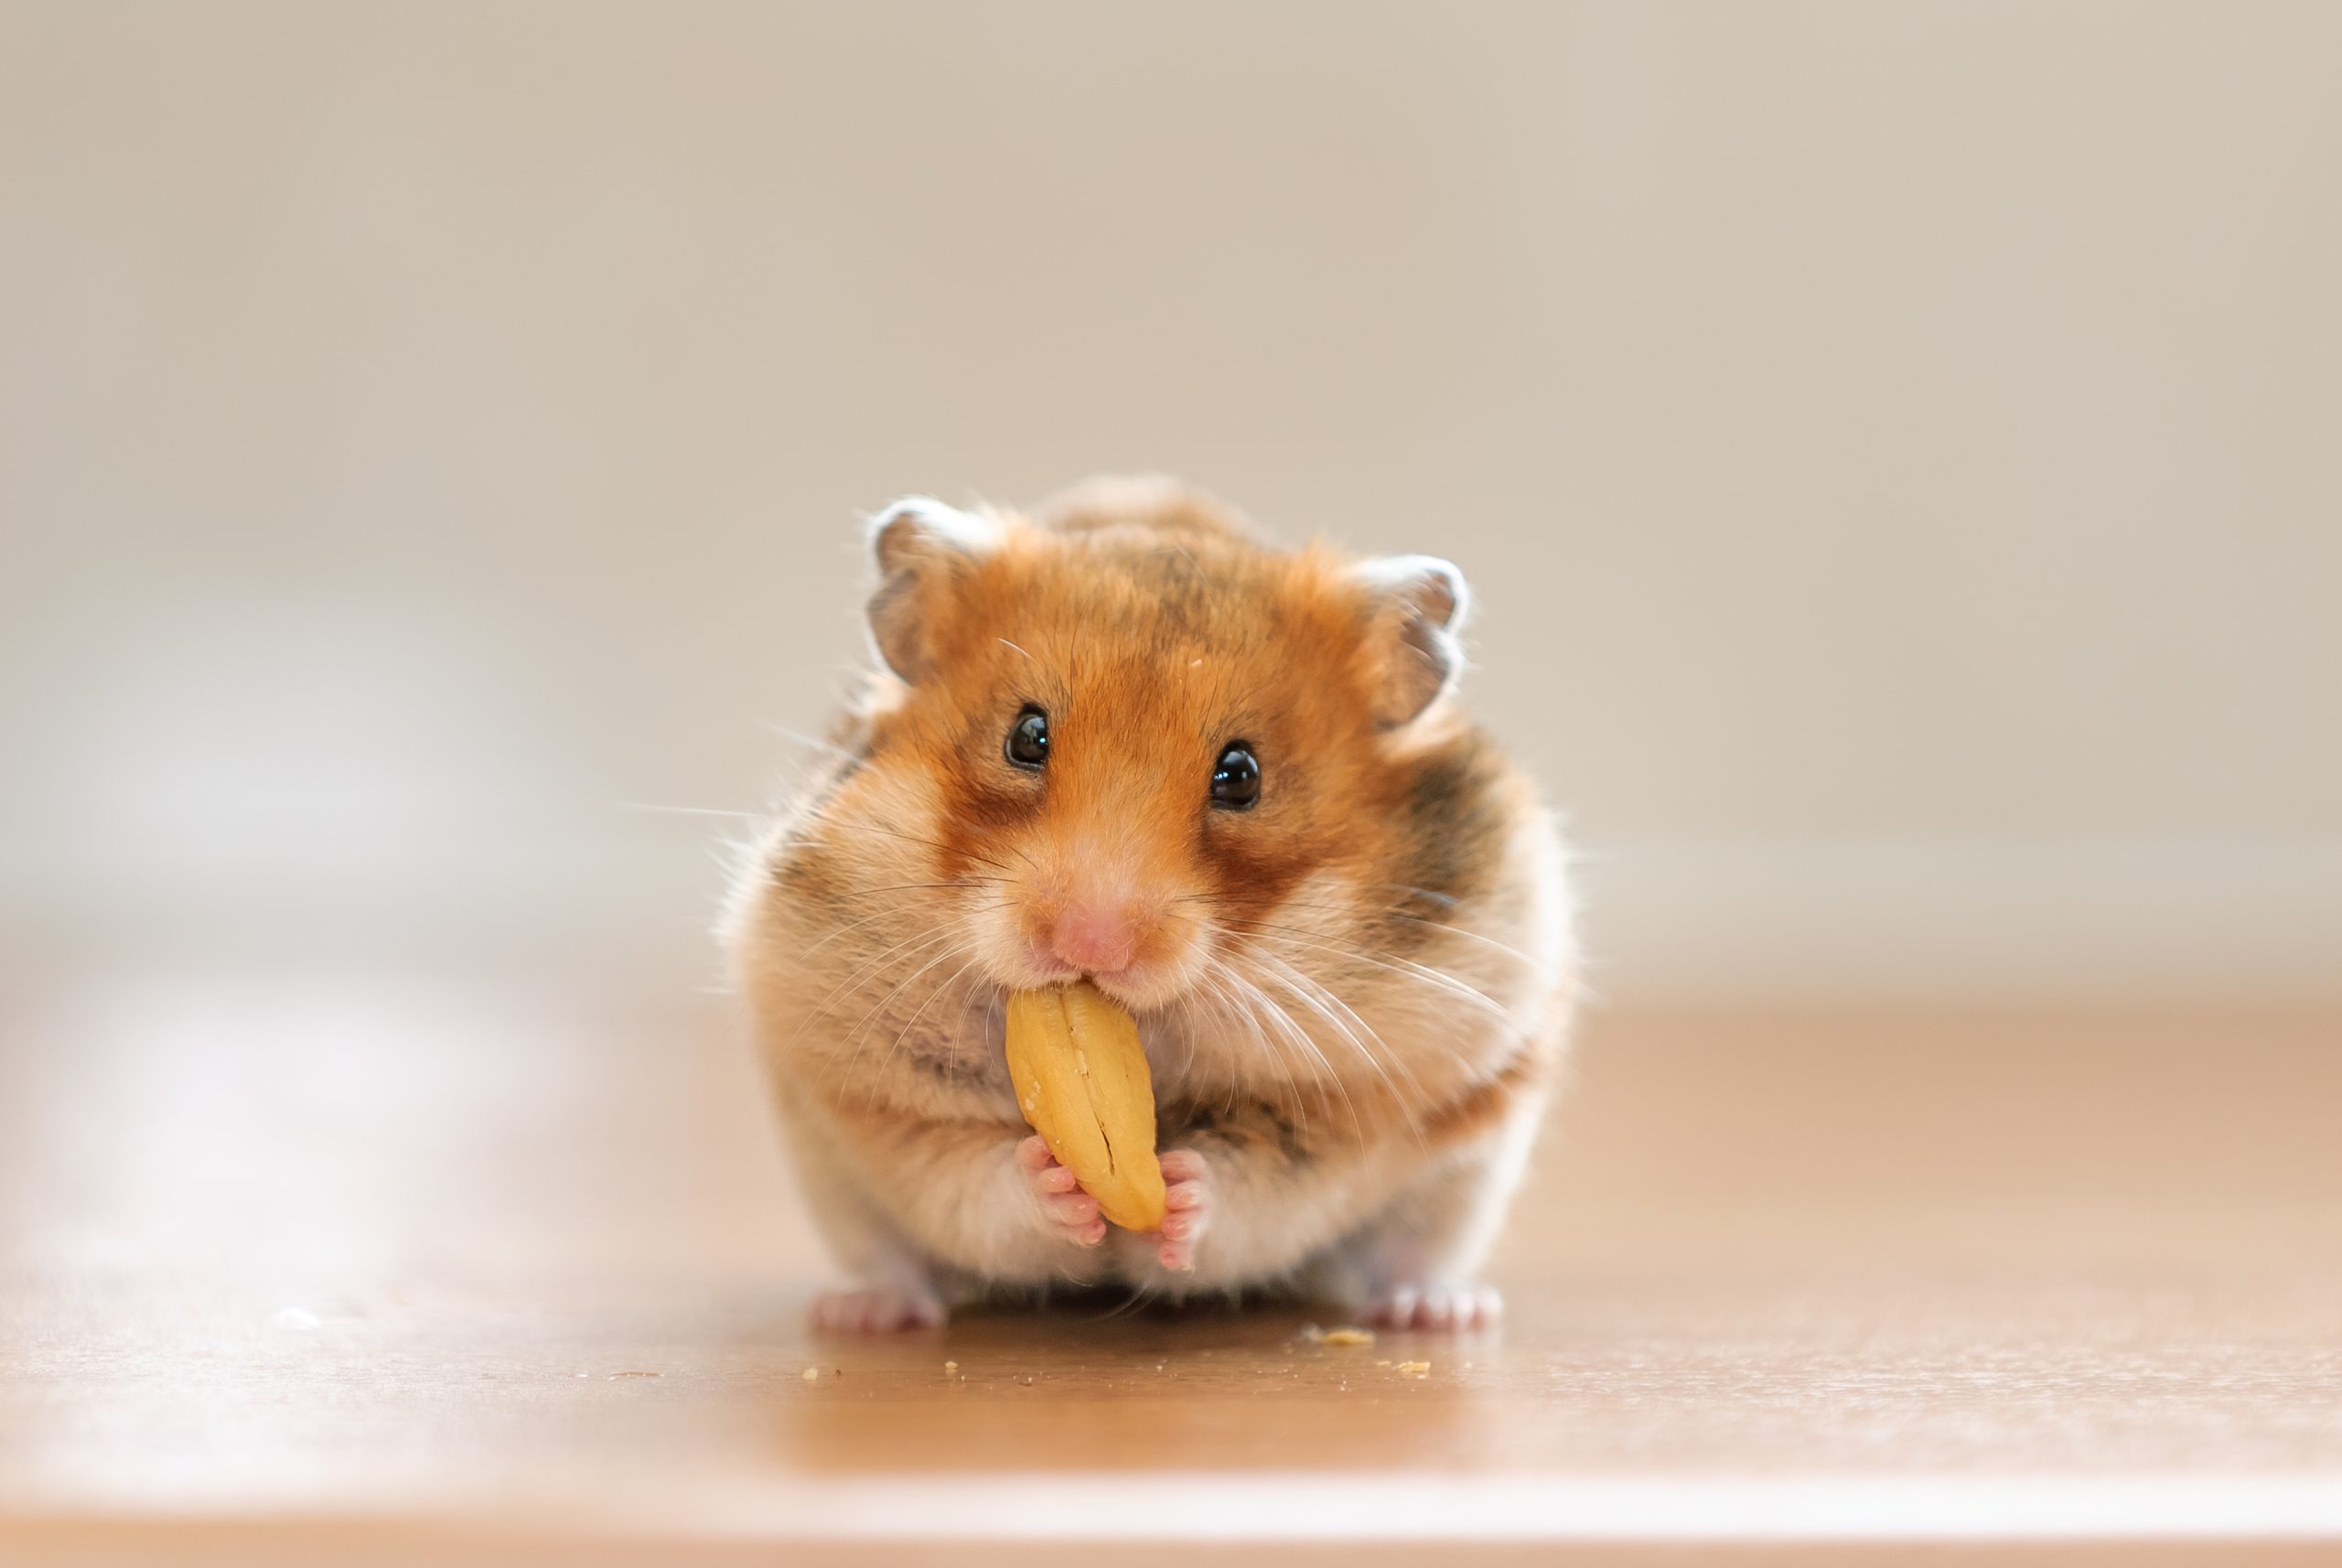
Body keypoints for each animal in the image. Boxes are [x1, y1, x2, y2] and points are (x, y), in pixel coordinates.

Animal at [721, 475, 1583, 1329]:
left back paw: (1439, 1312)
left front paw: (1177, 1191)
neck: (1152, 1036)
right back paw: (864, 1314)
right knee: (891, 1257)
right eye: (1025, 737)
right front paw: (1055, 1181)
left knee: (1409, 1254)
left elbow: (1259, 1185)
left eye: (1242, 775)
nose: (1089, 947)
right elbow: (972, 1175)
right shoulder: (872, 1090)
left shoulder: (1360, 1103)